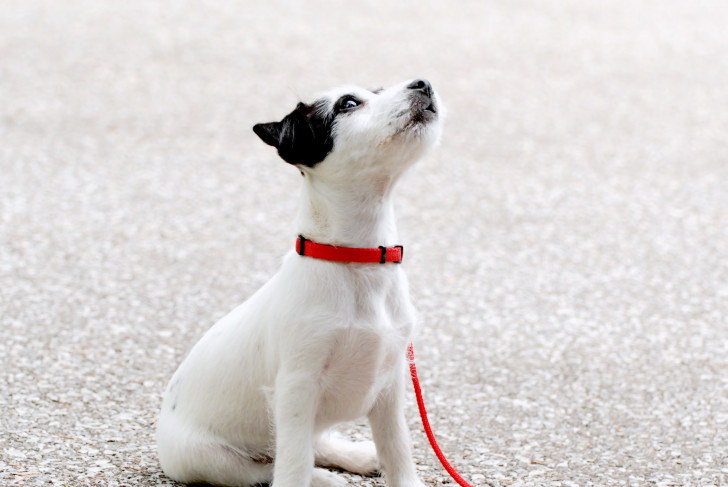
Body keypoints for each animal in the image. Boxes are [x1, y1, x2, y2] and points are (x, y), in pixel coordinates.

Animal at [156, 78, 444, 486]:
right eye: (348, 103)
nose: (422, 82)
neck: (355, 260)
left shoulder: (390, 384)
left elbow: (397, 448)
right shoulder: (296, 388)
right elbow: (292, 463)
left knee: (308, 446)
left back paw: (355, 457)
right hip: (206, 458)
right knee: (266, 466)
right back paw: (325, 479)